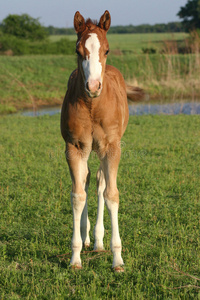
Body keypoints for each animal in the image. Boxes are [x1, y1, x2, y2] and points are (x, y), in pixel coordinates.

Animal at [61, 11, 130, 272]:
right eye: (77, 49)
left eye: (107, 50)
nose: (92, 86)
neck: (92, 105)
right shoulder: (74, 148)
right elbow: (78, 195)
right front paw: (75, 257)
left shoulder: (111, 148)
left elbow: (111, 195)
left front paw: (117, 259)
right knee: (88, 180)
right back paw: (87, 238)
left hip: (101, 150)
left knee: (100, 181)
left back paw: (99, 242)